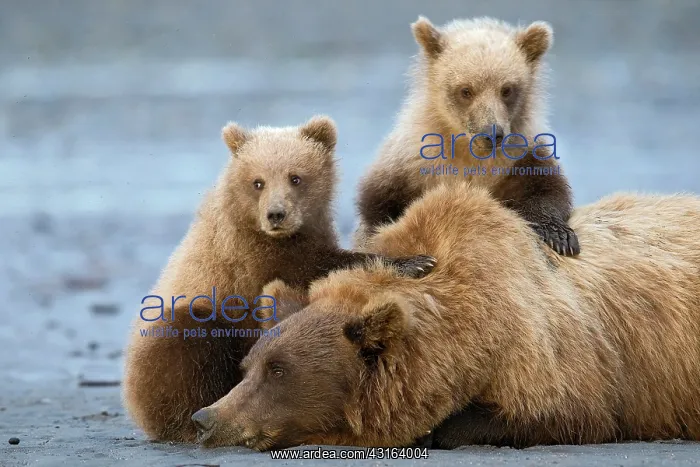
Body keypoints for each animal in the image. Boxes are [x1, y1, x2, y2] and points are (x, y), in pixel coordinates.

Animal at [122, 115, 436, 443]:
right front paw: (416, 262)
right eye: (257, 182)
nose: (276, 214)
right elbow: (313, 269)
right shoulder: (251, 258)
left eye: (295, 178)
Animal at [353, 16, 579, 257]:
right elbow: (379, 203)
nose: (492, 133)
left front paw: (560, 236)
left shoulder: (520, 156)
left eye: (507, 89)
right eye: (466, 90)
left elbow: (546, 189)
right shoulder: (410, 162)